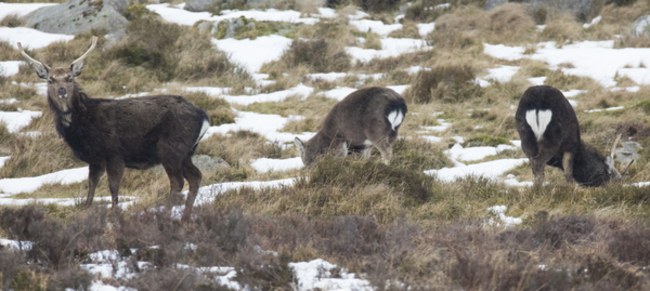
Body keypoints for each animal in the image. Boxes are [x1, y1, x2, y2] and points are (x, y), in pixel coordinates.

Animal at [18, 36, 210, 220]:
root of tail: (205, 117)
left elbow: (113, 186)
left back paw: (164, 215)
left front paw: (114, 213)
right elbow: (92, 185)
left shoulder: (114, 154)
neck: (82, 124)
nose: (62, 90)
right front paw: (86, 210)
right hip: (186, 152)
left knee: (178, 182)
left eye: (70, 78)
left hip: (170, 148)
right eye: (50, 81)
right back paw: (185, 217)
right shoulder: (96, 159)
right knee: (195, 176)